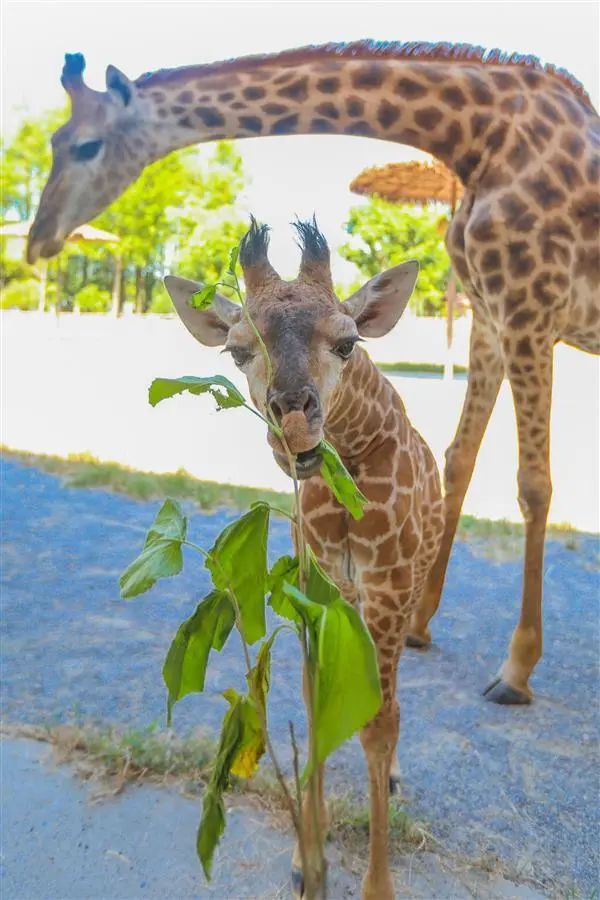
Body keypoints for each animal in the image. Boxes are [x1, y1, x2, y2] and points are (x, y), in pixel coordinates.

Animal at [29, 42, 600, 704]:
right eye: (54, 140)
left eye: (85, 145)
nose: (38, 238)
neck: (477, 138)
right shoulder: (488, 311)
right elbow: (460, 458)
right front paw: (421, 623)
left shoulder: (531, 304)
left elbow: (534, 484)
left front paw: (516, 669)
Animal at [166, 220, 442, 900]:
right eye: (237, 351)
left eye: (346, 342)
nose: (293, 427)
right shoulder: (317, 589)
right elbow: (319, 705)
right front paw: (304, 860)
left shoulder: (388, 588)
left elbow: (377, 722)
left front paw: (377, 886)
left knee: (394, 704)